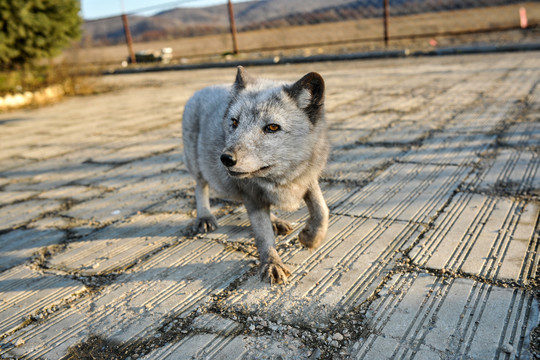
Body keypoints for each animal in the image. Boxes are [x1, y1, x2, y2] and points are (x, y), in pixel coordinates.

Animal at [182, 65, 330, 284]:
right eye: (234, 122)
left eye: (272, 127)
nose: (226, 158)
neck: (280, 179)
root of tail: (202, 90)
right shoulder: (251, 195)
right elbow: (263, 235)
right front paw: (272, 263)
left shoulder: (307, 177)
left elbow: (322, 209)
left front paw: (311, 238)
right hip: (198, 166)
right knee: (200, 187)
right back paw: (204, 216)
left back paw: (276, 220)